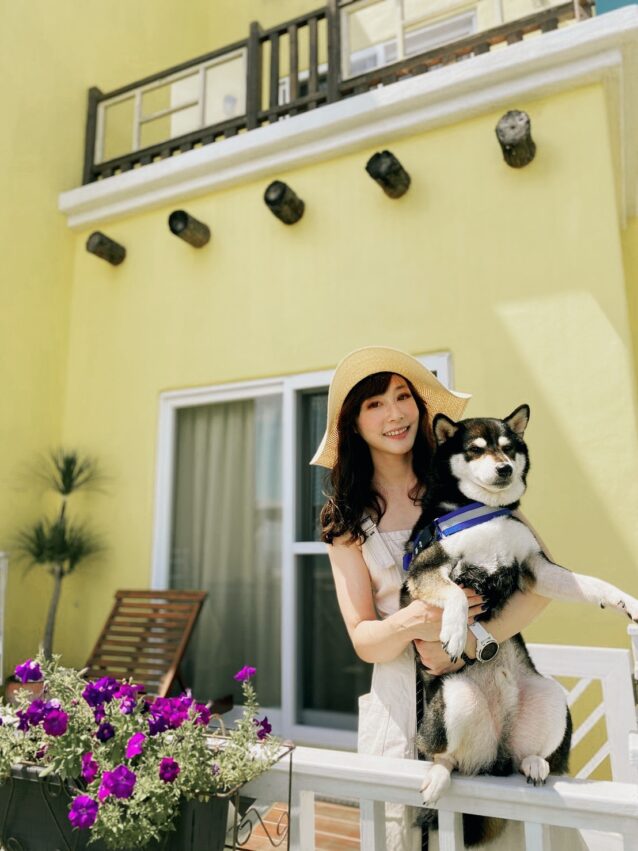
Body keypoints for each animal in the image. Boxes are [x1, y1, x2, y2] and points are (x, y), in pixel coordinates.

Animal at [400, 404, 638, 847]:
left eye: (508, 448)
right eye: (476, 450)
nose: (505, 469)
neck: (483, 510)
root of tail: (495, 756)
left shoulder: (536, 566)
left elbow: (593, 583)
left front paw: (626, 601)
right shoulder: (425, 570)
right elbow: (455, 595)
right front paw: (455, 631)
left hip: (550, 697)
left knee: (528, 755)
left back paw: (534, 764)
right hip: (456, 701)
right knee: (448, 758)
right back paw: (439, 775)